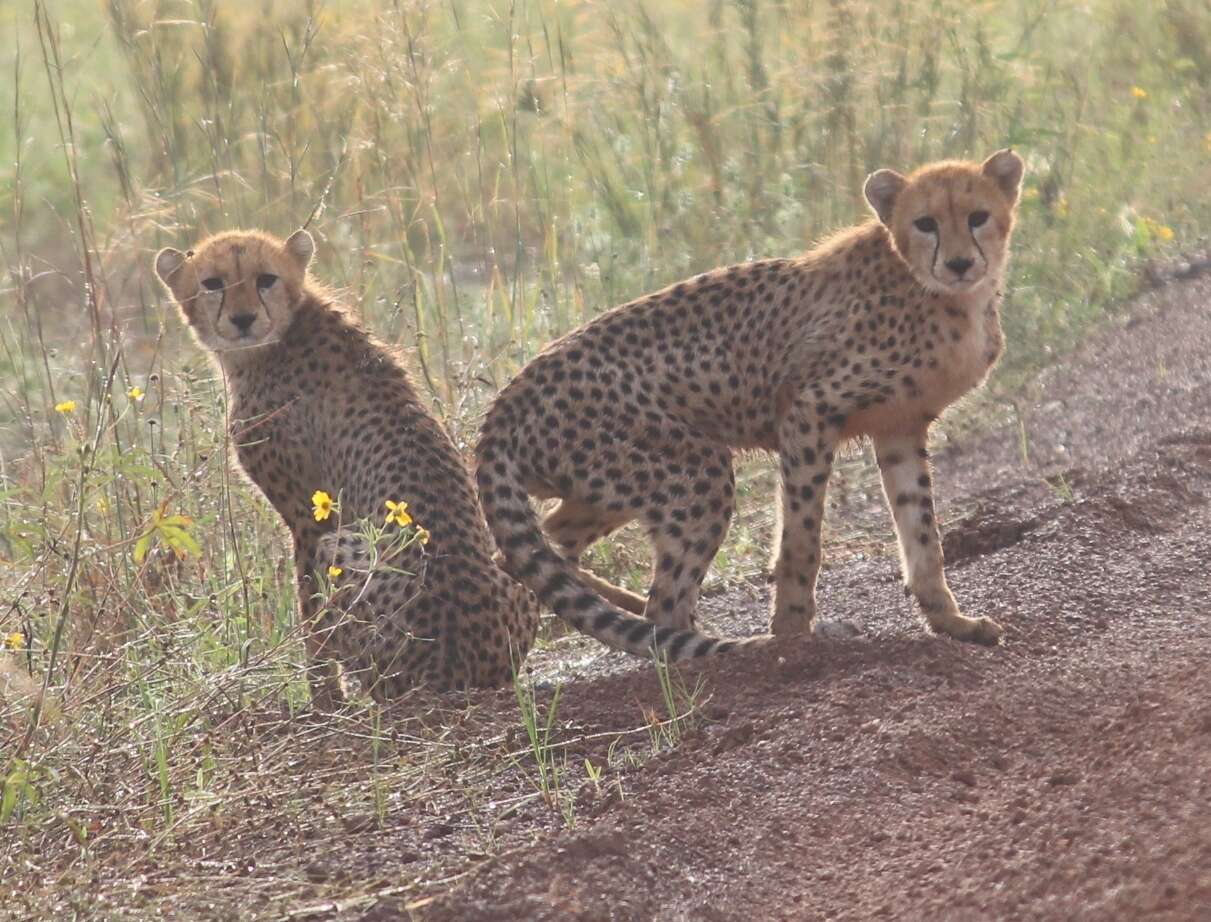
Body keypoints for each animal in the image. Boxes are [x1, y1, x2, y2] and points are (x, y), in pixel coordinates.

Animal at [153, 230, 537, 702]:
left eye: (266, 279)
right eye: (212, 283)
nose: (243, 319)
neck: (285, 332)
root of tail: (470, 672)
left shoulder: (309, 519)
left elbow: (310, 615)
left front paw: (322, 699)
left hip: (342, 552)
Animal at [477, 147, 1026, 659]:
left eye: (978, 216)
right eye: (925, 223)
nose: (959, 263)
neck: (936, 291)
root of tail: (508, 396)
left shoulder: (901, 428)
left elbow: (923, 535)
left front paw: (951, 622)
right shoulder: (808, 413)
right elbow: (802, 536)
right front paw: (793, 631)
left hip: (608, 487)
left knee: (529, 553)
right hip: (694, 472)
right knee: (661, 602)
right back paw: (713, 648)